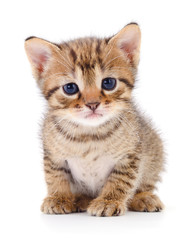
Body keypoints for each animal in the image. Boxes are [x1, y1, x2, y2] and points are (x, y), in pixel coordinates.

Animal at [24, 23, 164, 217]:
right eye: (70, 88)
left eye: (108, 83)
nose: (92, 104)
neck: (88, 134)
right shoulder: (53, 154)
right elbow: (55, 176)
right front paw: (59, 198)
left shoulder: (131, 154)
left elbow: (121, 180)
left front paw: (109, 201)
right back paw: (81, 199)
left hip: (155, 151)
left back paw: (143, 197)